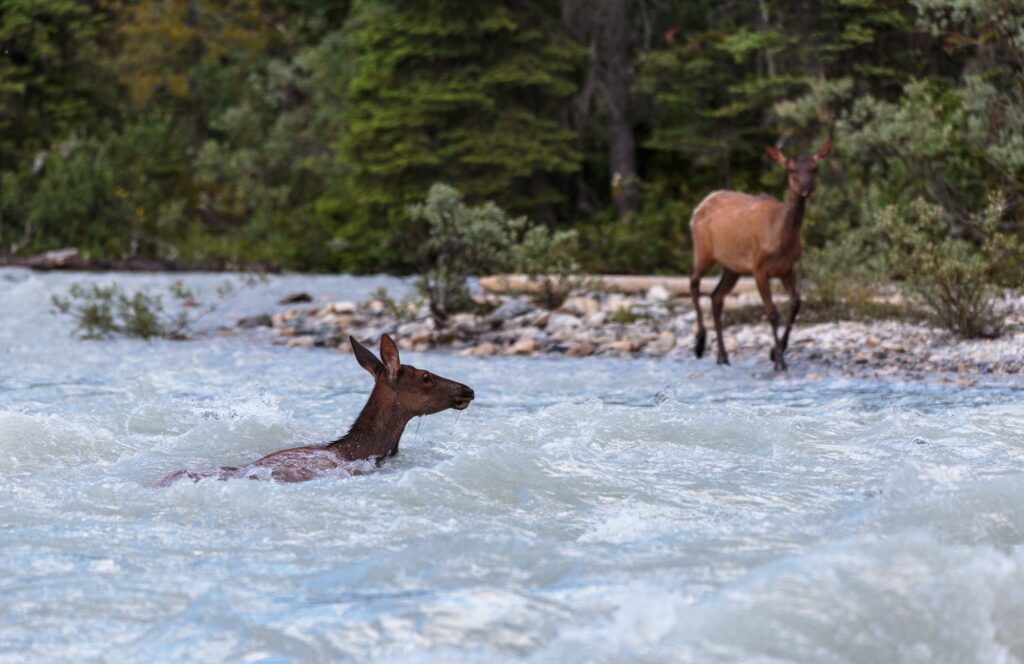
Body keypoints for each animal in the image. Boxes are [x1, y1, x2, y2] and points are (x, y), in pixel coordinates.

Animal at [688, 139, 831, 370]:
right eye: (791, 169)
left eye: (814, 167)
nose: (807, 188)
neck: (780, 238)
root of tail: (700, 205)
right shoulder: (759, 269)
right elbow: (772, 312)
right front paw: (779, 360)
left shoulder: (787, 268)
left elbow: (796, 304)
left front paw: (775, 352)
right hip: (703, 251)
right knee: (693, 281)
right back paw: (700, 344)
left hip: (733, 267)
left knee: (716, 296)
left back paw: (722, 356)